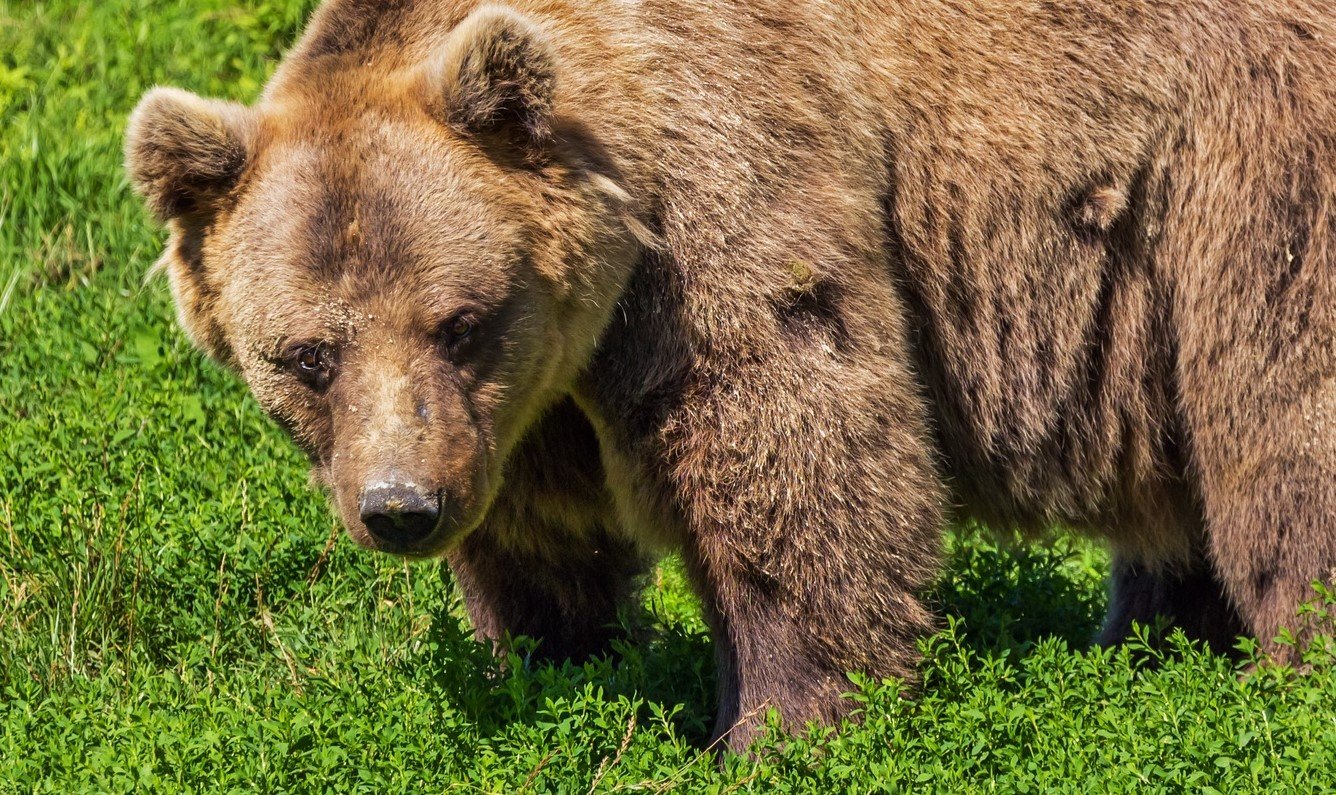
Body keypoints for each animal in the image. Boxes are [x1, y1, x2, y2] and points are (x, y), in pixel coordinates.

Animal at [122, 0, 1325, 748]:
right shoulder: (527, 402)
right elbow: (542, 530)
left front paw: (778, 723)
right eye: (307, 355)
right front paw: (551, 660)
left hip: (1244, 165)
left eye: (459, 322)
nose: (402, 507)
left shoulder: (723, 179)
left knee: (1277, 423)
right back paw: (1150, 644)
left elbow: (785, 436)